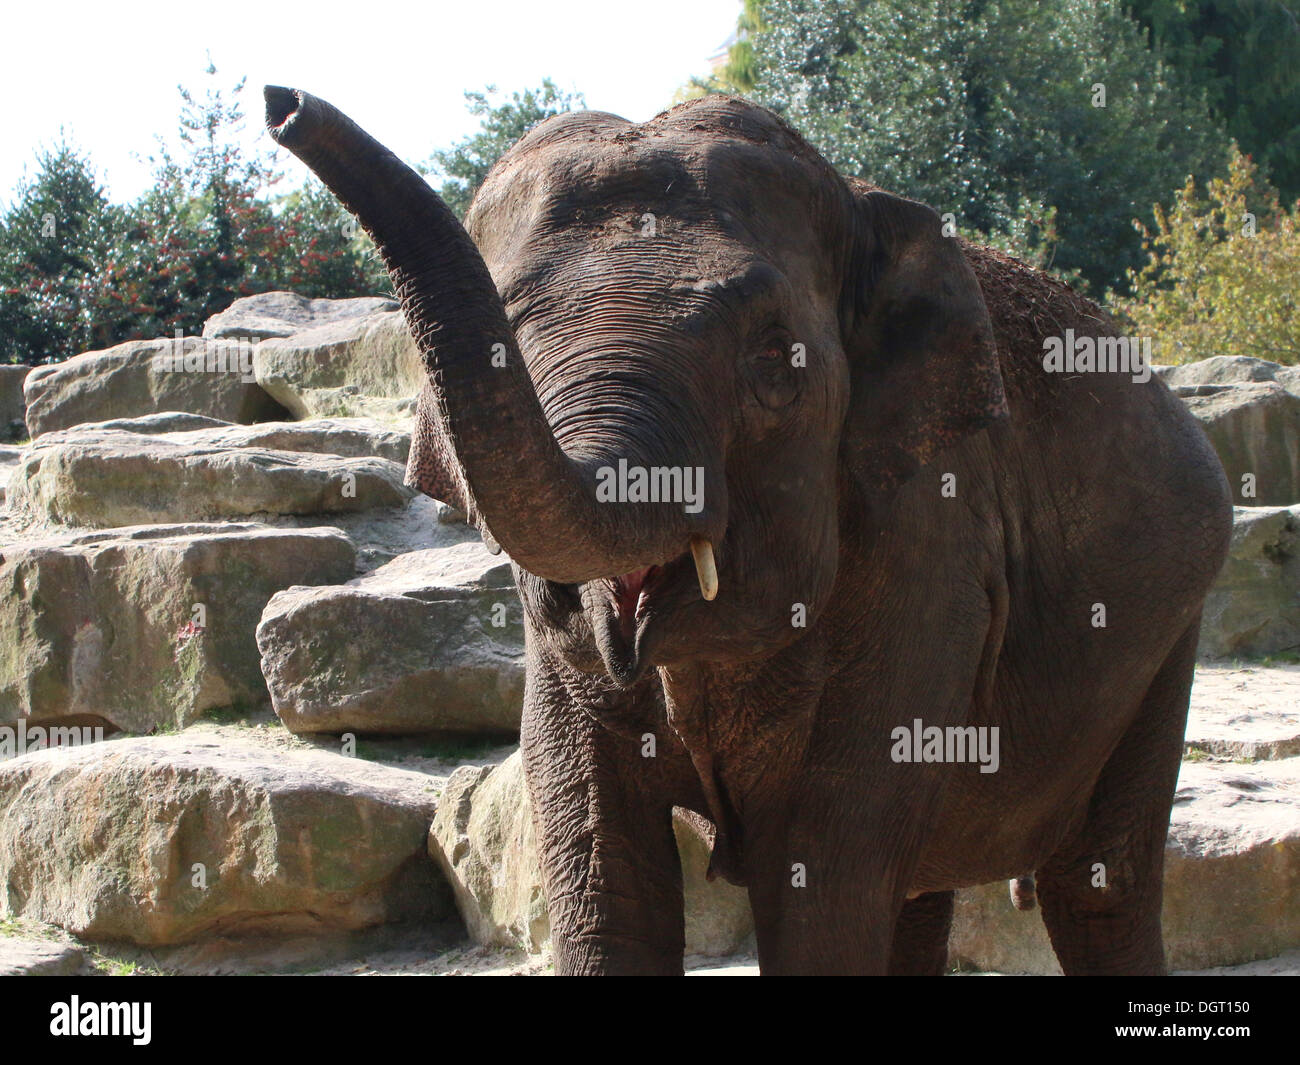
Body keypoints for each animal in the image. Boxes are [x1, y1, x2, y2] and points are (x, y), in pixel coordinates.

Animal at [263, 87, 1227, 977]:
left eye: (773, 359)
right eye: (506, 341)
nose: (282, 104)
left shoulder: (933, 556)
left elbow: (823, 877)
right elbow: (602, 862)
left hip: (1167, 633)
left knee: (1097, 884)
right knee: (928, 891)